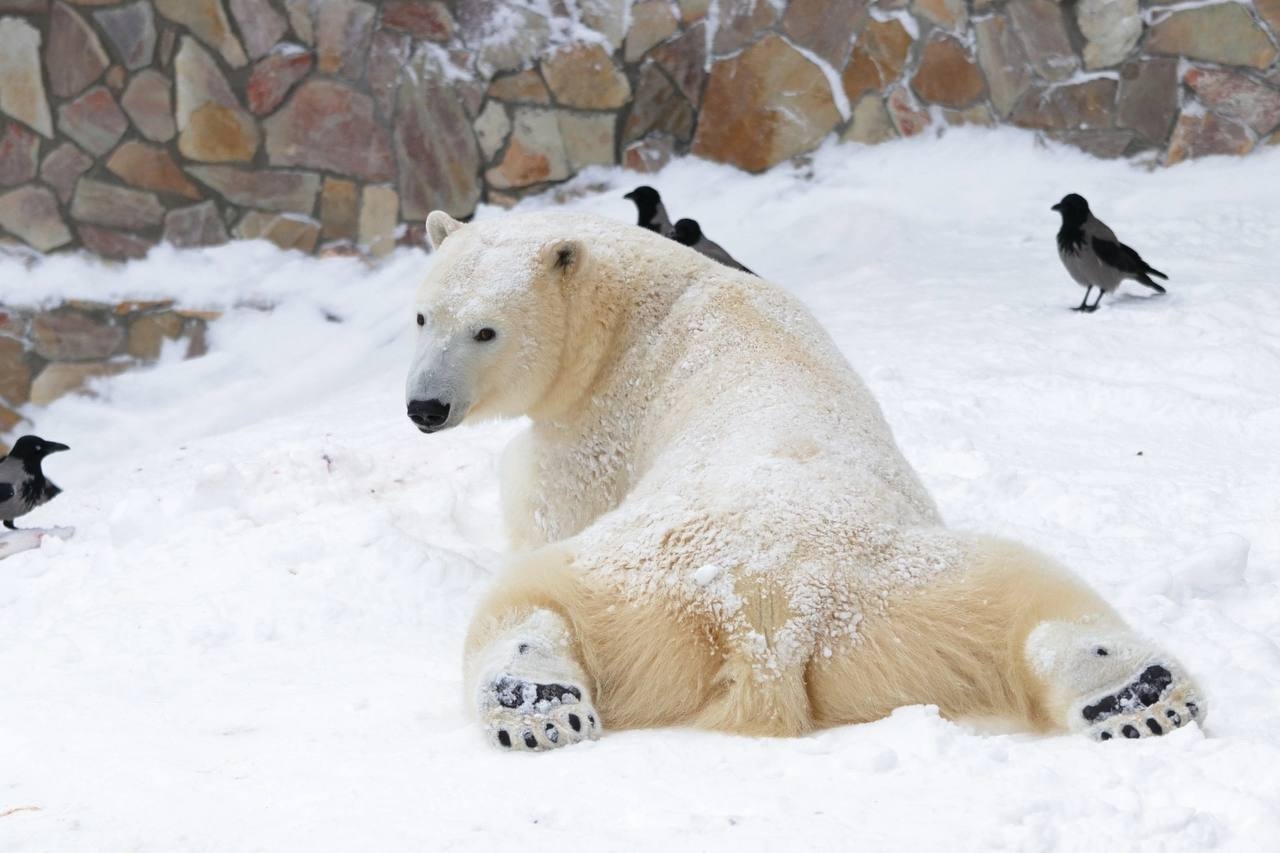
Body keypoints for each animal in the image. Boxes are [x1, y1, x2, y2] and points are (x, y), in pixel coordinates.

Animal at [404, 208, 1203, 747]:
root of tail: (768, 612)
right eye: (421, 316)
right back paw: (1135, 695)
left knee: (526, 593)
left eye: (485, 330)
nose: (424, 406)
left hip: (634, 577)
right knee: (1025, 592)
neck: (643, 303)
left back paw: (535, 700)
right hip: (908, 604)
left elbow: (540, 503)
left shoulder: (598, 428)